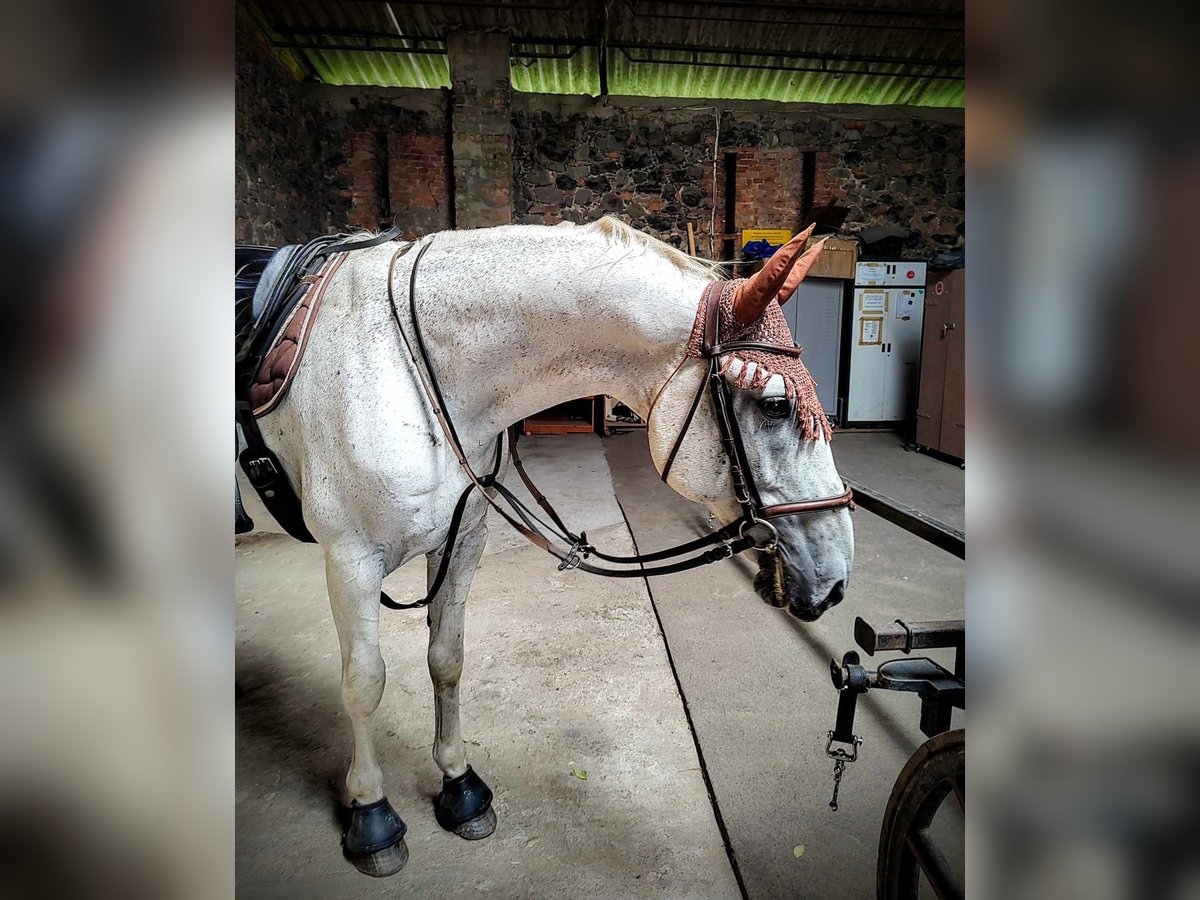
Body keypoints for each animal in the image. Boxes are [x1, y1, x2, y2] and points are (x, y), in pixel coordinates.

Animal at [248, 220, 854, 883]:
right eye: (775, 405)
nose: (836, 579)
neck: (411, 373)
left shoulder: (461, 540)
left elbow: (446, 659)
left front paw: (460, 787)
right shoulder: (350, 558)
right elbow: (365, 683)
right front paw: (372, 816)